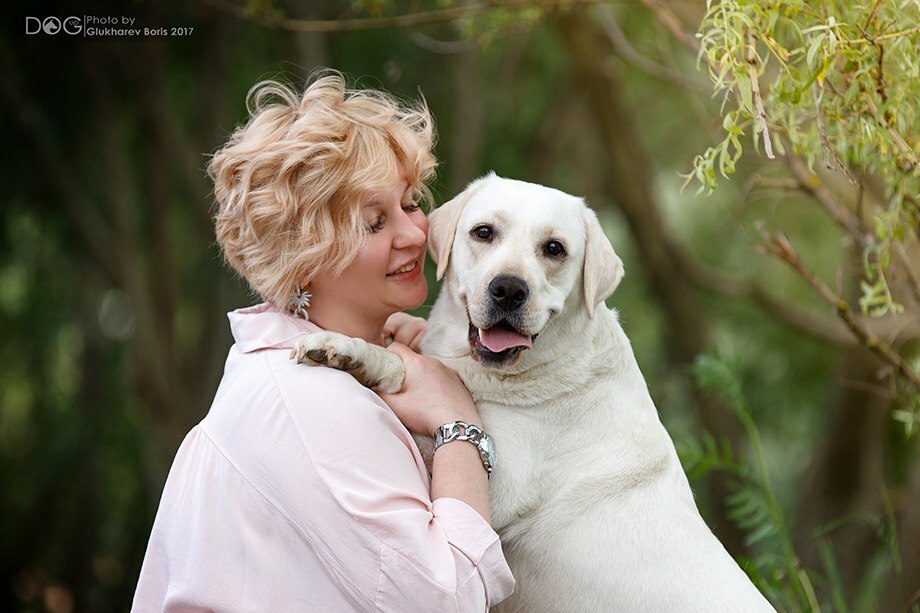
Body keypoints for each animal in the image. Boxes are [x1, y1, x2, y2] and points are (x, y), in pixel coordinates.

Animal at [292, 173, 768, 612]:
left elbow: (412, 379)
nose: (508, 289)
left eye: (554, 248)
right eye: (484, 232)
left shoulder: (497, 490)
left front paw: (350, 350)